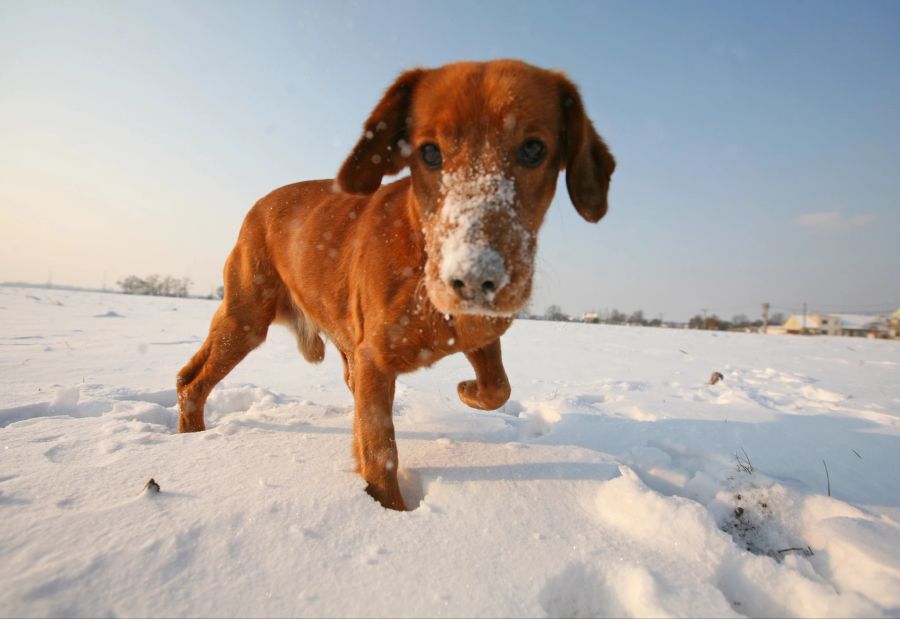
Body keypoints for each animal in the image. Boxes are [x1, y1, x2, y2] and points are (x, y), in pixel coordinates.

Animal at [176, 60, 612, 512]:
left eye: (533, 149)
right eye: (429, 152)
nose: (475, 278)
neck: (421, 257)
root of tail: (257, 204)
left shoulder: (478, 332)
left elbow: (499, 387)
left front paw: (468, 390)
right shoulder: (375, 361)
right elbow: (380, 452)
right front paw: (390, 514)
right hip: (245, 319)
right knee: (192, 381)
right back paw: (192, 440)